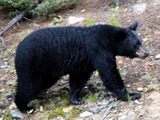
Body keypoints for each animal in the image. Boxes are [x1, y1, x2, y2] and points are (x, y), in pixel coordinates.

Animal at [14, 21, 149, 112]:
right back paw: (24, 107)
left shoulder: (85, 62)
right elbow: (109, 74)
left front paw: (75, 98)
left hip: (48, 71)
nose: (147, 53)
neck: (110, 41)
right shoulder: (98, 50)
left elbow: (79, 78)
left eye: (141, 41)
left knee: (42, 83)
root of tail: (17, 49)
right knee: (29, 84)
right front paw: (132, 94)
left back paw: (38, 95)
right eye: (136, 44)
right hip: (32, 63)